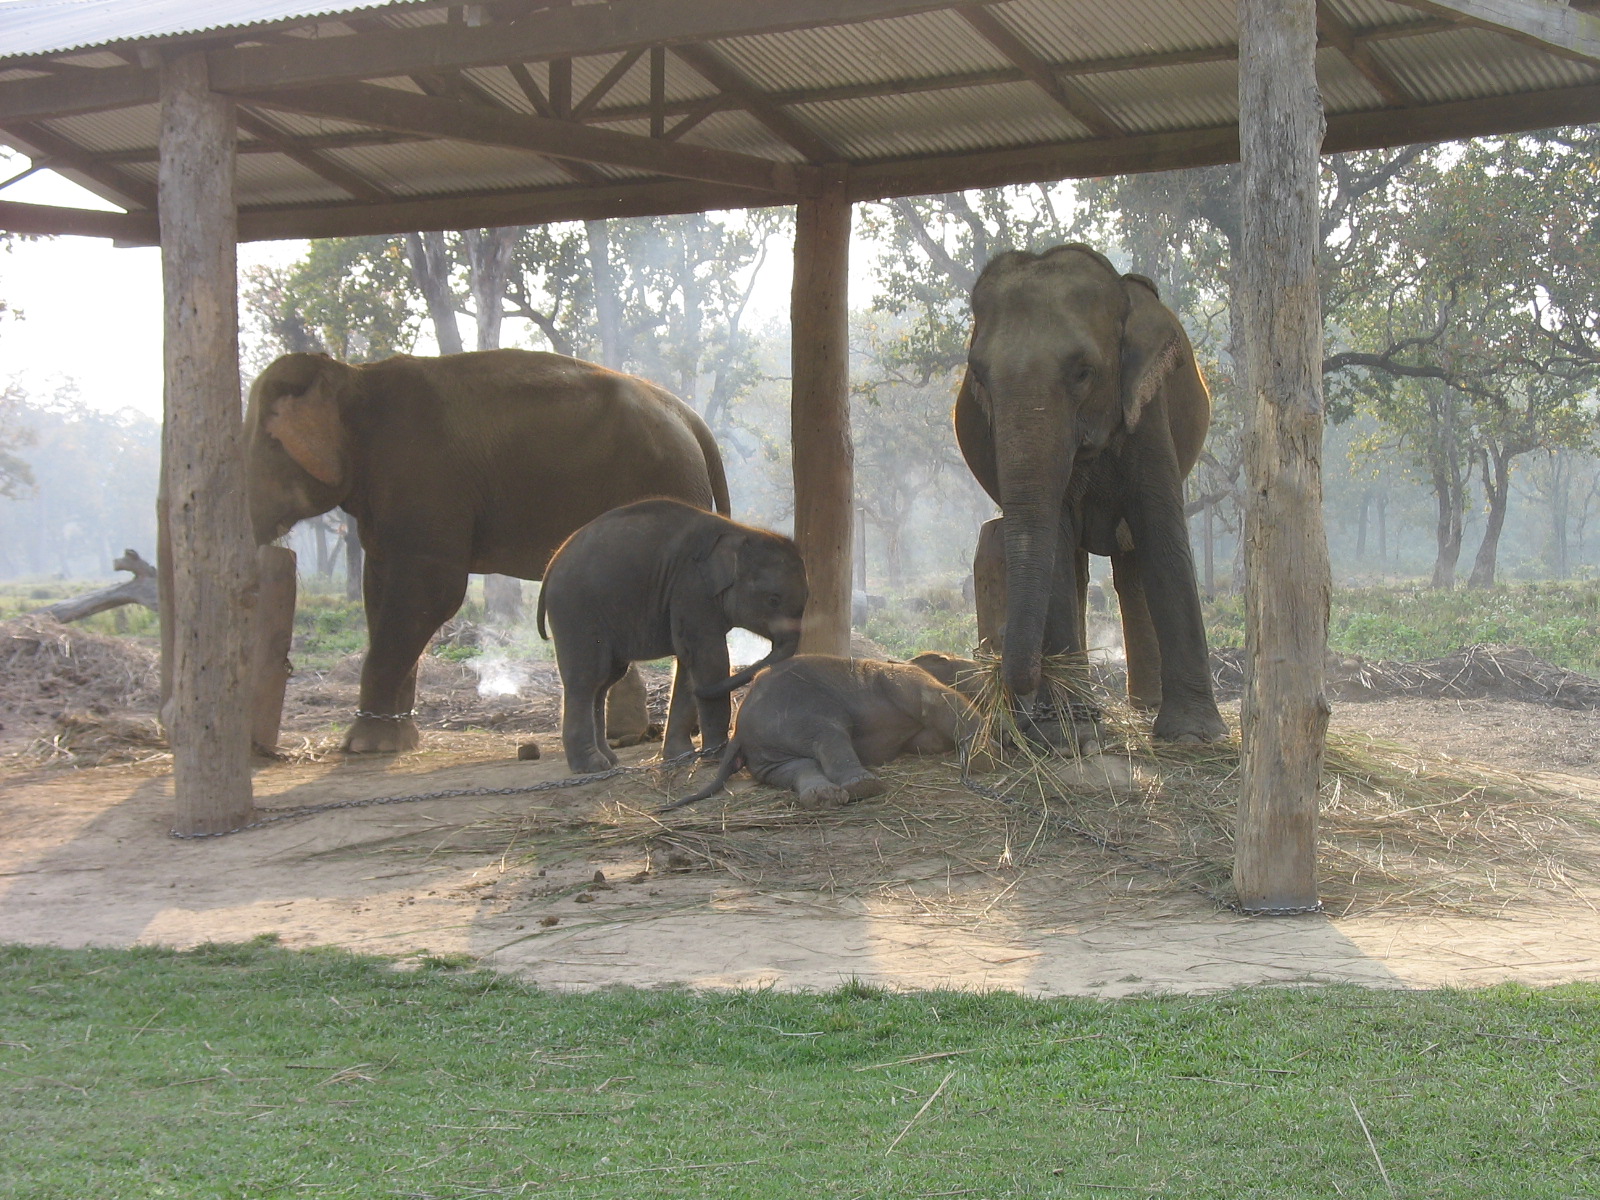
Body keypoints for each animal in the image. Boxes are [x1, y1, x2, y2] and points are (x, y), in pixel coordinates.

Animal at [245, 348, 729, 754]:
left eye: (265, 445)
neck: (354, 376)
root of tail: (690, 417)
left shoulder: (423, 478)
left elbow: (431, 591)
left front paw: (365, 747)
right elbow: (379, 592)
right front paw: (396, 740)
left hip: (661, 480)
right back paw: (635, 737)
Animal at [537, 498, 809, 774]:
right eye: (773, 600)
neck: (741, 531)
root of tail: (552, 564)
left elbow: (689, 664)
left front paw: (681, 756)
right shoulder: (691, 587)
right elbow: (708, 658)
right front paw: (716, 758)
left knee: (605, 681)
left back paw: (610, 761)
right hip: (575, 611)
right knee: (587, 678)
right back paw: (592, 766)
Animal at [666, 655, 980, 811]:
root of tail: (739, 733)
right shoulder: (907, 680)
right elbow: (939, 702)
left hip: (765, 754)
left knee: (796, 765)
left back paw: (823, 798)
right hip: (802, 713)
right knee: (830, 737)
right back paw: (865, 787)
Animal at [955, 243, 1226, 744]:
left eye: (1083, 372)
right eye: (978, 376)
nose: (1003, 676)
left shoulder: (1148, 407)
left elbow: (1160, 529)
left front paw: (1193, 737)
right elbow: (1058, 543)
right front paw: (1067, 735)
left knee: (1131, 567)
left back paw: (1145, 706)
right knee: (1082, 569)